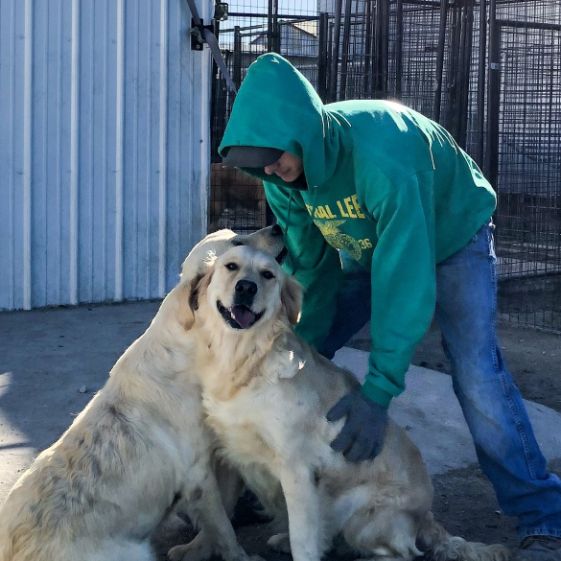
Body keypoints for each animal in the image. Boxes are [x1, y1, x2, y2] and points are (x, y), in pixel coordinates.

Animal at [0, 225, 282, 560]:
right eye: (236, 243)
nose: (278, 228)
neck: (198, 349)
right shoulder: (198, 474)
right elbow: (224, 529)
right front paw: (238, 555)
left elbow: (222, 513)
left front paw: (197, 548)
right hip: (137, 551)